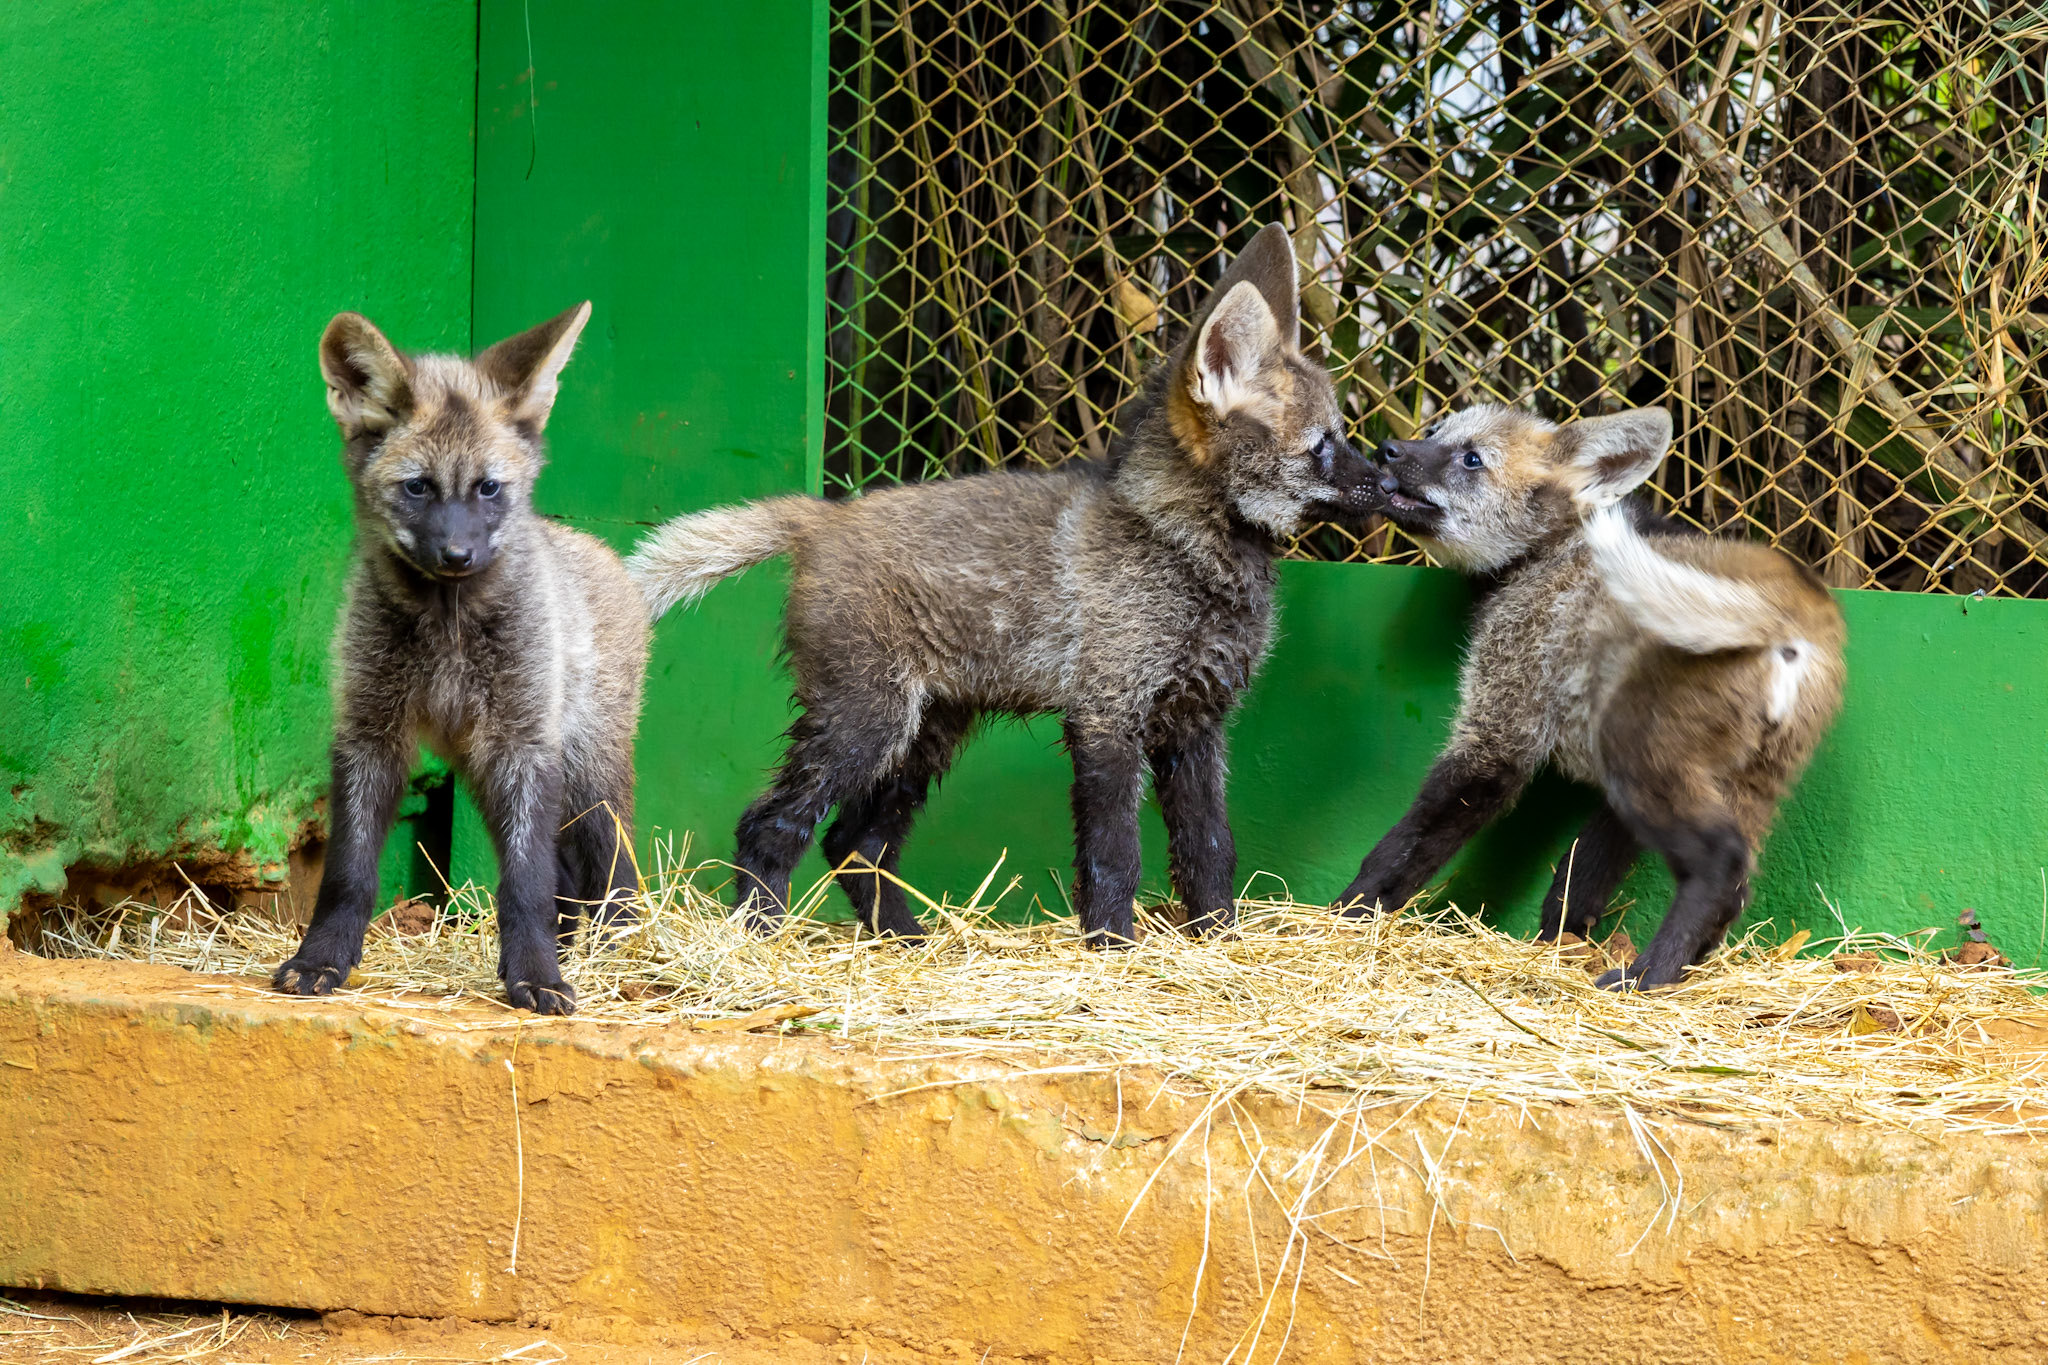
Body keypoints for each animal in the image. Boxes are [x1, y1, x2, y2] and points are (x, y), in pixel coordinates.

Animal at [273, 303, 650, 1014]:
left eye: (488, 489)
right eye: (418, 488)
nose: (456, 556)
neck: (447, 634)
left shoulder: (524, 746)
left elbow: (524, 885)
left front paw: (537, 975)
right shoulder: (370, 733)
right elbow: (347, 875)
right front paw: (321, 960)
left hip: (582, 774)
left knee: (612, 868)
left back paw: (616, 945)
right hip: (483, 770)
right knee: (567, 875)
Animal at [628, 224, 1379, 945]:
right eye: (1324, 446)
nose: (1389, 476)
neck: (1182, 551)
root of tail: (822, 514)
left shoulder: (1197, 724)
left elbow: (1210, 849)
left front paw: (1218, 942)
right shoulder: (1107, 714)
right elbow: (1116, 856)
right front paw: (1114, 949)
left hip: (925, 737)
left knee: (854, 842)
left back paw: (905, 941)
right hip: (866, 724)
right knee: (771, 825)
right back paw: (755, 936)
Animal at [1337, 403, 1845, 989]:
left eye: (1472, 460)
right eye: (1434, 431)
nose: (1387, 449)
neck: (1545, 556)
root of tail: (1798, 601)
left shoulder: (1500, 730)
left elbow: (1405, 844)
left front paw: (1343, 914)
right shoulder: (1612, 791)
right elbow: (1578, 876)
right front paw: (1559, 945)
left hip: (1646, 761)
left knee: (1720, 866)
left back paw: (1646, 977)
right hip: (1742, 781)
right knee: (1738, 884)